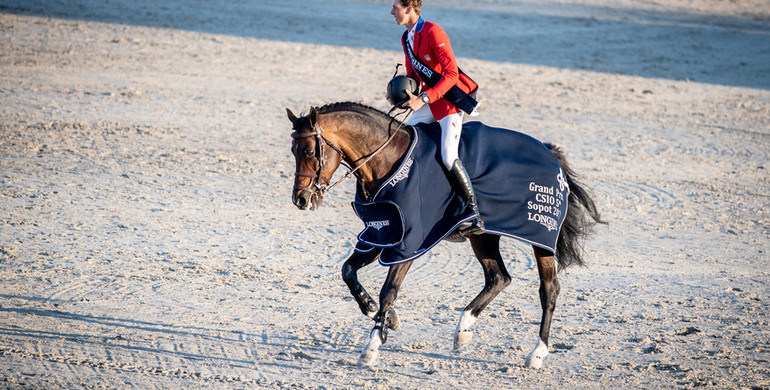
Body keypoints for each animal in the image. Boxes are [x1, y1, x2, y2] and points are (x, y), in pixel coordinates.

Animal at [284, 101, 604, 368]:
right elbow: (348, 271)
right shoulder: (382, 234)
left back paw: (537, 354)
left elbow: (389, 290)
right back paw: (463, 331)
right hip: (483, 236)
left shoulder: (408, 243)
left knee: (548, 289)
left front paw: (372, 346)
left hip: (542, 238)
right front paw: (381, 315)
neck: (385, 159)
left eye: (310, 152)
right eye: (292, 152)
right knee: (498, 278)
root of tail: (550, 152)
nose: (300, 200)